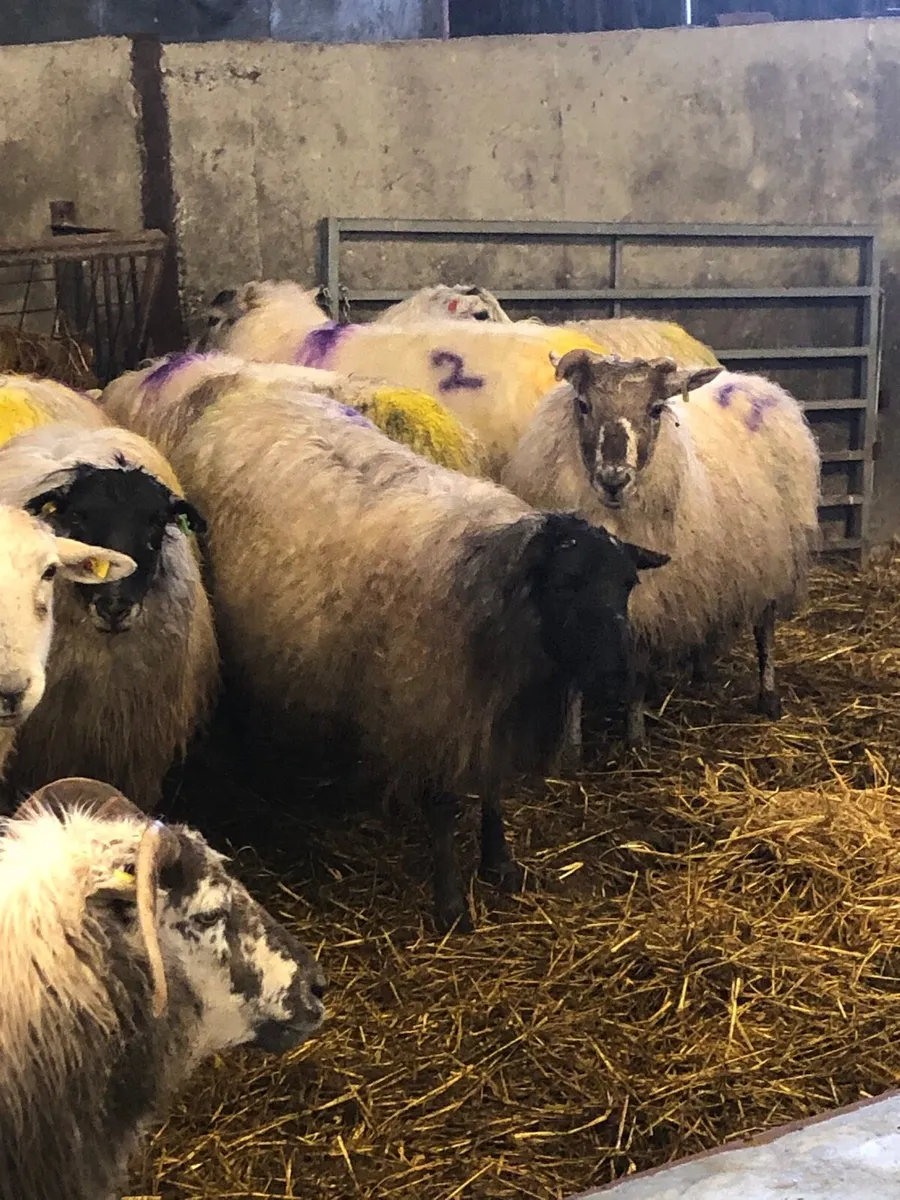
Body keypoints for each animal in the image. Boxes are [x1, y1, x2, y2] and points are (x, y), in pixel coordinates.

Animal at [139, 369, 667, 932]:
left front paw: (499, 863)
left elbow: (493, 788)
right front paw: (452, 904)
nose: (620, 674)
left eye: (628, 584)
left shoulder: (489, 711)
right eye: (567, 583)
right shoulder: (433, 706)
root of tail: (248, 399)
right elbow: (444, 806)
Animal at [502, 351, 821, 747]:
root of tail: (753, 380)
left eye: (655, 409)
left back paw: (768, 695)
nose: (613, 480)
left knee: (765, 627)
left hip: (774, 553)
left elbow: (637, 667)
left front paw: (635, 737)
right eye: (583, 404)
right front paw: (571, 744)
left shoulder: (649, 594)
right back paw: (701, 673)